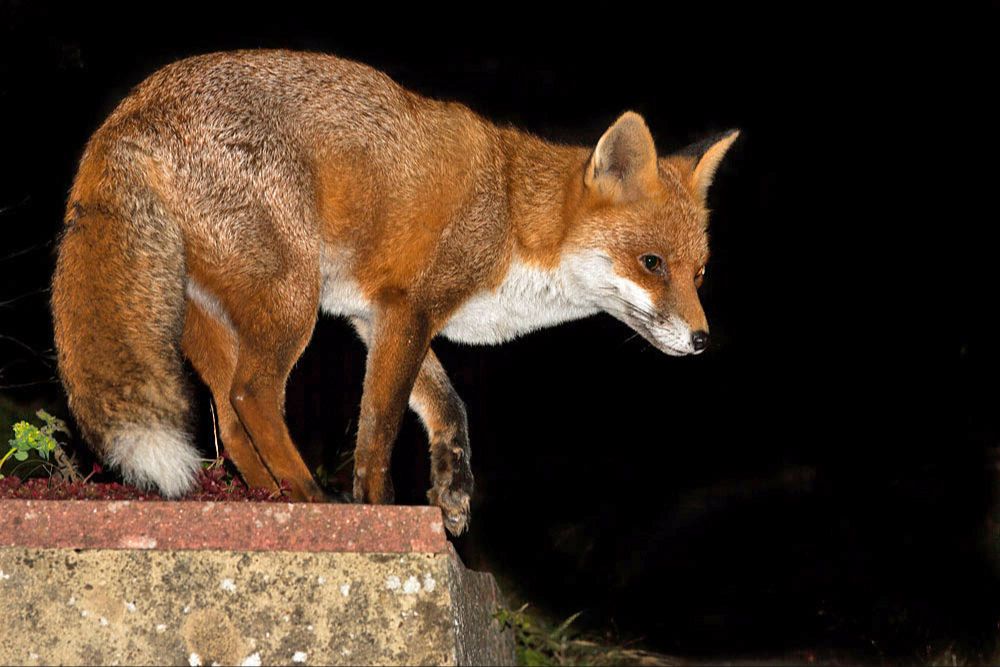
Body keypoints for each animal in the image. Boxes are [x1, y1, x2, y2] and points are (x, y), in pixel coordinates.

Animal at [52, 49, 736, 536]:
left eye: (700, 274)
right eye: (652, 263)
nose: (704, 341)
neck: (512, 217)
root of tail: (126, 116)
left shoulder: (377, 314)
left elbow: (449, 406)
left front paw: (453, 491)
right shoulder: (412, 305)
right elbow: (378, 432)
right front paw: (378, 508)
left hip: (214, 313)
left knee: (228, 411)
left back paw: (272, 495)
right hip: (291, 300)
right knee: (251, 395)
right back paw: (310, 498)